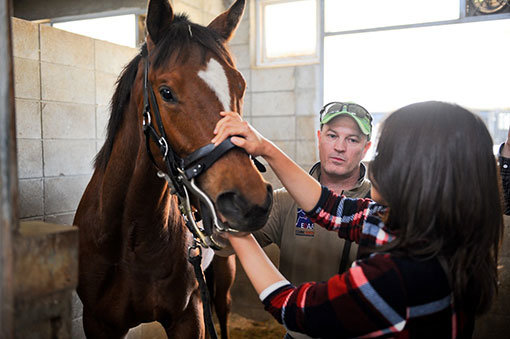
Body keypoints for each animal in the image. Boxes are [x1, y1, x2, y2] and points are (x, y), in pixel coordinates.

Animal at [72, 1, 270, 338]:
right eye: (166, 92)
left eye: (240, 87)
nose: (250, 202)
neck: (131, 239)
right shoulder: (97, 321)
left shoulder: (188, 316)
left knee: (223, 310)